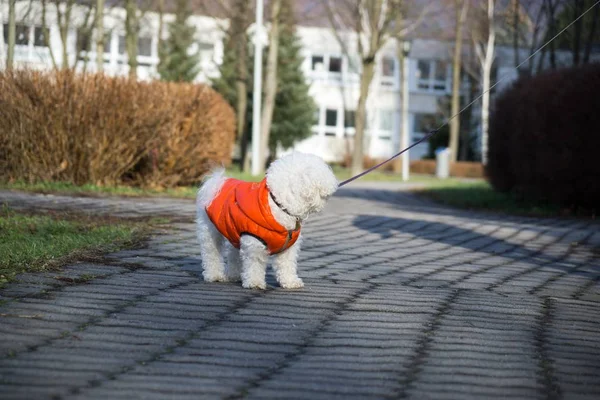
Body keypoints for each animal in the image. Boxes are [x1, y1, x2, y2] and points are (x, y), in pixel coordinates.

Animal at [197, 152, 338, 290]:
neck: (279, 206)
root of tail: (217, 183)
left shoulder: (288, 248)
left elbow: (287, 265)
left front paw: (290, 281)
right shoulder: (254, 244)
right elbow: (255, 264)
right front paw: (254, 282)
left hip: (233, 231)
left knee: (234, 254)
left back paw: (233, 275)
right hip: (210, 231)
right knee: (211, 253)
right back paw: (214, 275)